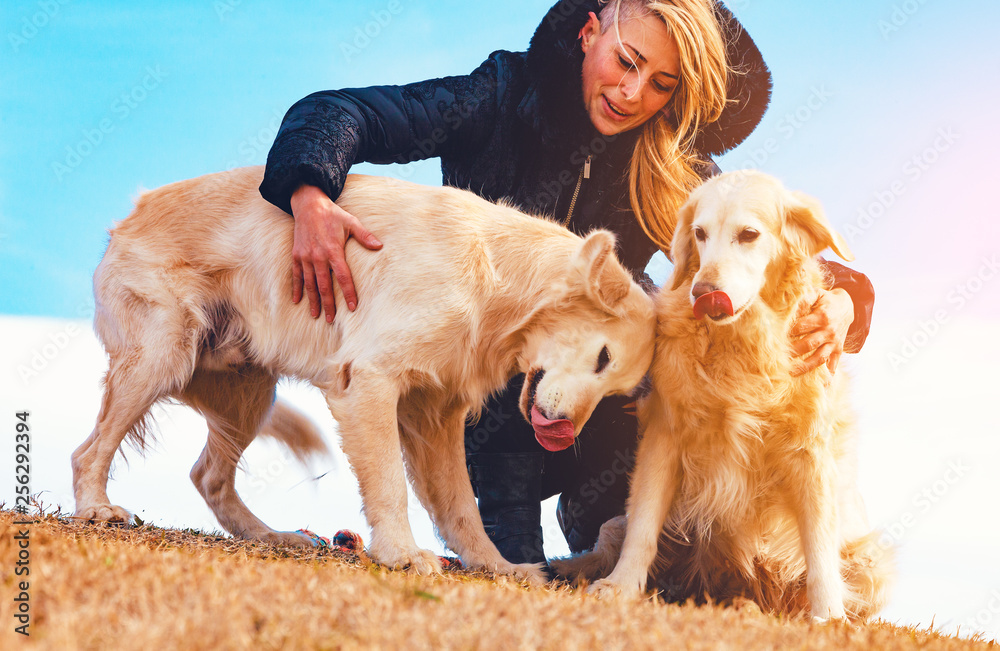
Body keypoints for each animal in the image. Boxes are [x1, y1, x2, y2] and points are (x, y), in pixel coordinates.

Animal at [76, 167, 656, 580]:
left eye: (616, 385)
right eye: (603, 356)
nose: (567, 437)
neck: (497, 275)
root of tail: (129, 216)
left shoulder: (434, 413)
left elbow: (460, 507)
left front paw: (497, 566)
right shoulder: (371, 382)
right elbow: (390, 486)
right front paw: (401, 553)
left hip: (248, 394)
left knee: (209, 476)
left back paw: (271, 537)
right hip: (161, 357)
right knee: (89, 452)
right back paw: (97, 510)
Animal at [556, 172, 892, 620]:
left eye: (748, 234)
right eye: (699, 234)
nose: (703, 292)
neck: (740, 342)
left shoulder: (811, 454)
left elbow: (820, 549)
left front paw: (829, 616)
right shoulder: (665, 435)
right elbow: (644, 523)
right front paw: (621, 586)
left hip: (873, 562)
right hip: (621, 526)